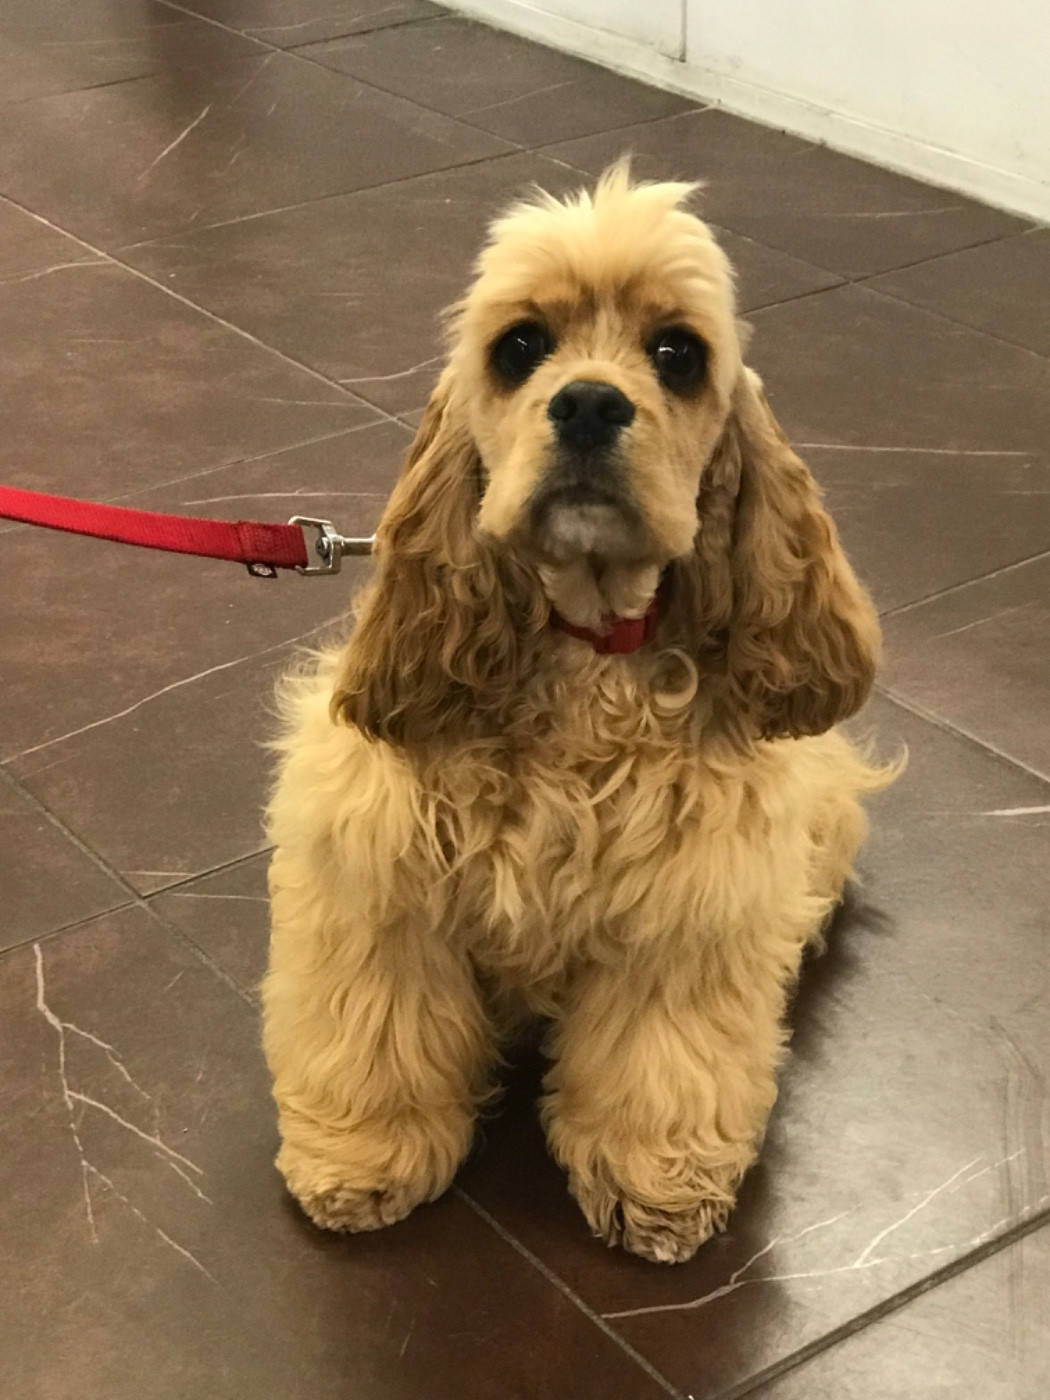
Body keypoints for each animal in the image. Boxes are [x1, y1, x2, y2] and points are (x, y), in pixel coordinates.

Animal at [261, 164, 895, 1265]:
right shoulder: (377, 882)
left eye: (677, 354)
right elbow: (373, 1030)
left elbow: (662, 1061)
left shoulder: (688, 913)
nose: (592, 402)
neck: (583, 651)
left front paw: (657, 1189)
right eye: (520, 346)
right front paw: (362, 1160)